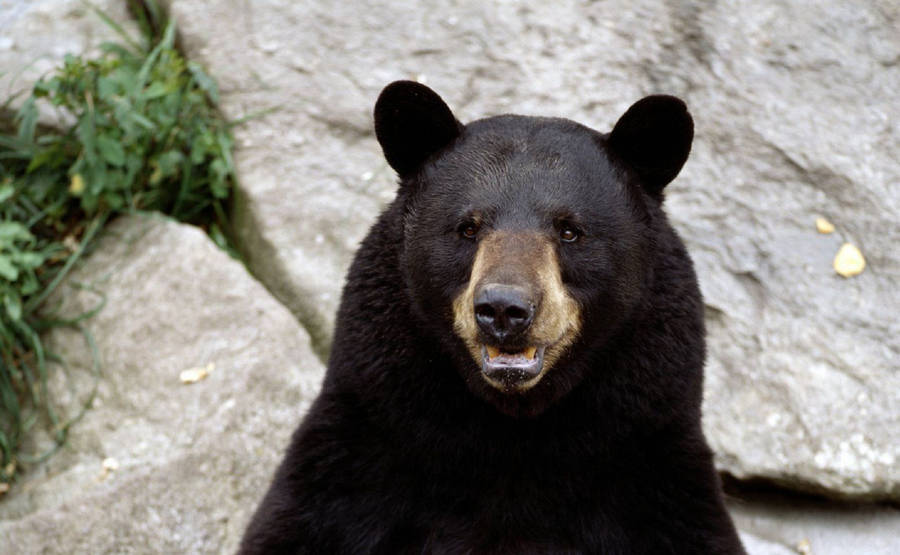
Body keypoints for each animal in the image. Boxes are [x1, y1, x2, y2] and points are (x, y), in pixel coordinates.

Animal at [239, 81, 745, 554]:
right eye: (468, 227)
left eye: (570, 231)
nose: (504, 309)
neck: (511, 430)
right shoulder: (364, 444)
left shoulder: (649, 462)